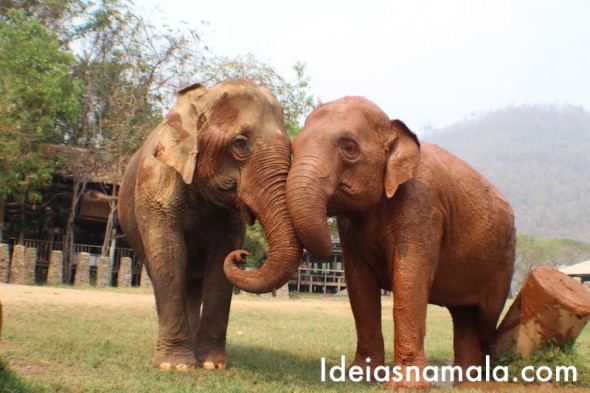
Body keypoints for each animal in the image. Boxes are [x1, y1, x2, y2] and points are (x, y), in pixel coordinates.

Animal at [121, 78, 306, 372]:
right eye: (240, 144)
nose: (242, 255)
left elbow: (219, 261)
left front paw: (212, 365)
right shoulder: (155, 186)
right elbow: (169, 256)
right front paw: (174, 366)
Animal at [284, 96, 516, 388]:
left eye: (349, 148)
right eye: (294, 147)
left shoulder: (421, 206)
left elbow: (409, 281)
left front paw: (407, 386)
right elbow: (359, 286)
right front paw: (360, 378)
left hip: (504, 259)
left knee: (485, 316)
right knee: (463, 315)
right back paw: (464, 382)